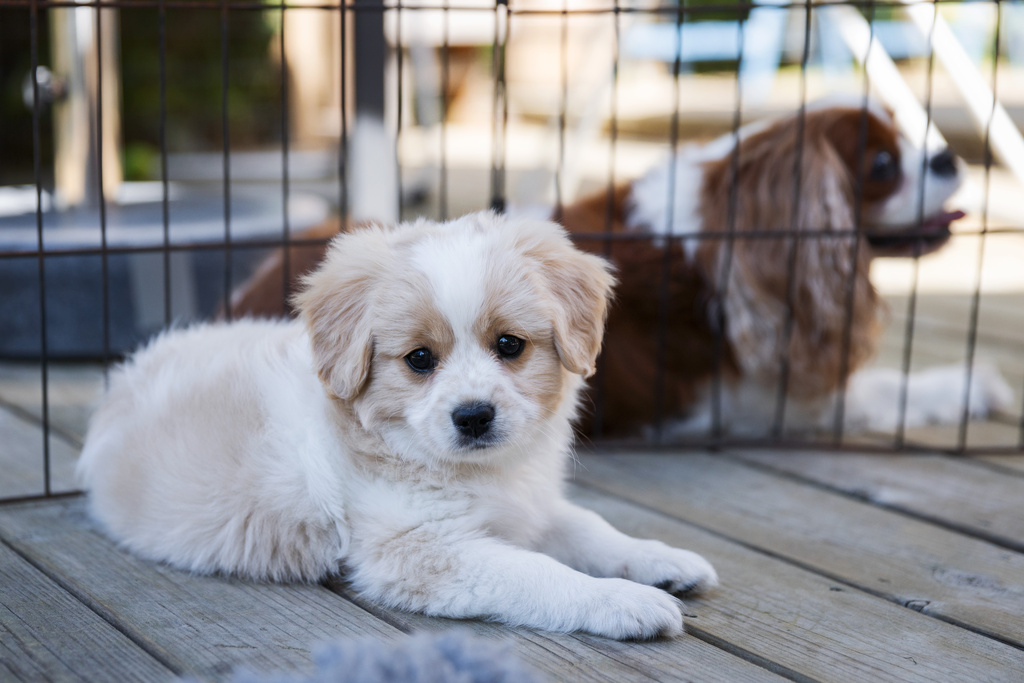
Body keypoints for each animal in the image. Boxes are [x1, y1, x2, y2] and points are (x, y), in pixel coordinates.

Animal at [75, 214, 716, 643]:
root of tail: (127, 375)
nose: (474, 416)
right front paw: (624, 601)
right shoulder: (421, 551)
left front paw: (663, 561)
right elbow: (538, 572)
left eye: (510, 345)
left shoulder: (530, 505)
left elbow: (591, 527)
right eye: (419, 360)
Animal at [230, 100, 1007, 438]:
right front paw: (966, 383)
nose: (949, 156)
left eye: (913, 139)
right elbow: (886, 389)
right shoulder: (768, 399)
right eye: (881, 164)